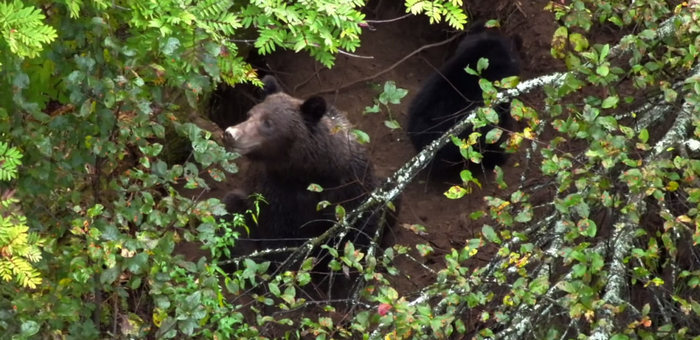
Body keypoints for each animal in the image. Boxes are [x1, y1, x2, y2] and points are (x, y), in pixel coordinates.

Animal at [224, 75, 388, 294]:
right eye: (249, 114)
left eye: (268, 123)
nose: (230, 133)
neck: (308, 173)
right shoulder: (276, 193)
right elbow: (281, 240)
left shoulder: (351, 184)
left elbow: (358, 233)